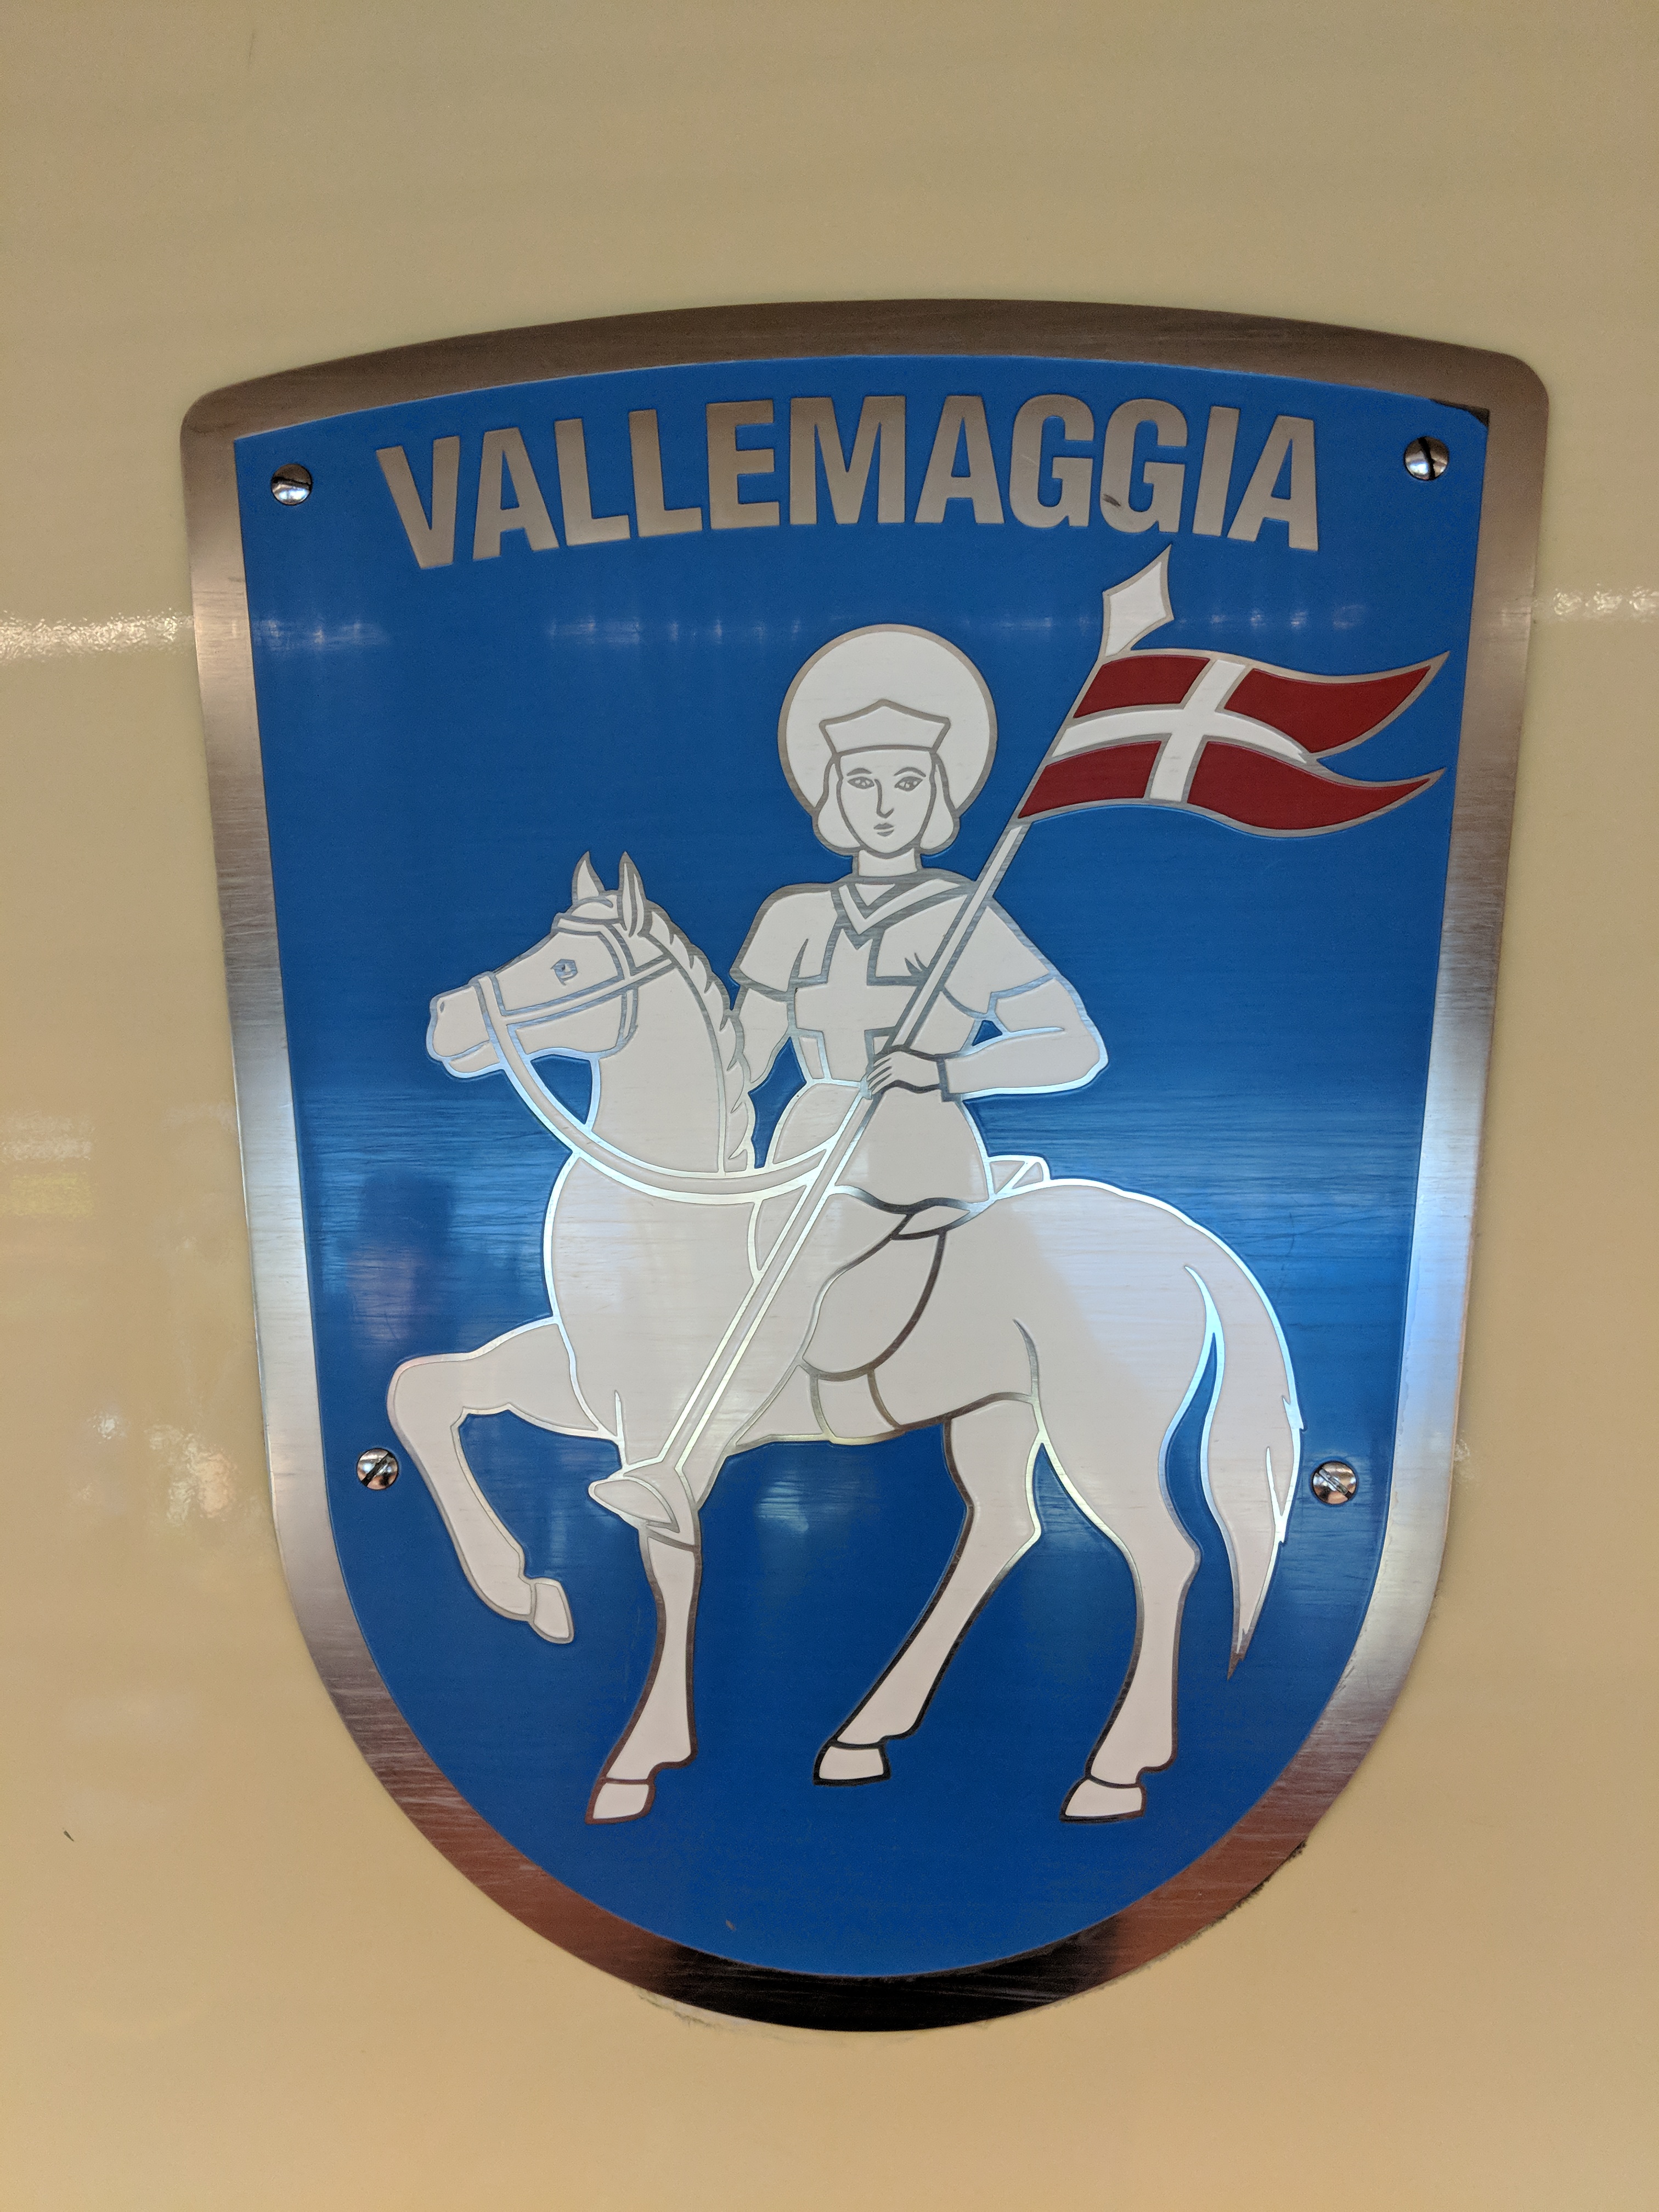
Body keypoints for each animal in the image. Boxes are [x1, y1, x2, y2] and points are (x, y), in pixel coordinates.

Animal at [388, 852, 1302, 1824]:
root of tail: (1183, 1239)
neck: (670, 1231)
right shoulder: (581, 1389)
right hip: (998, 1413)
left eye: (565, 968)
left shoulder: (664, 1428)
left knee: (1164, 1557)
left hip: (1100, 1435)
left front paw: (639, 1762)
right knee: (1003, 1531)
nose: (445, 1019)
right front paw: (527, 1597)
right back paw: (863, 1736)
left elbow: (671, 1556)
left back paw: (1113, 1772)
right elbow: (422, 1393)